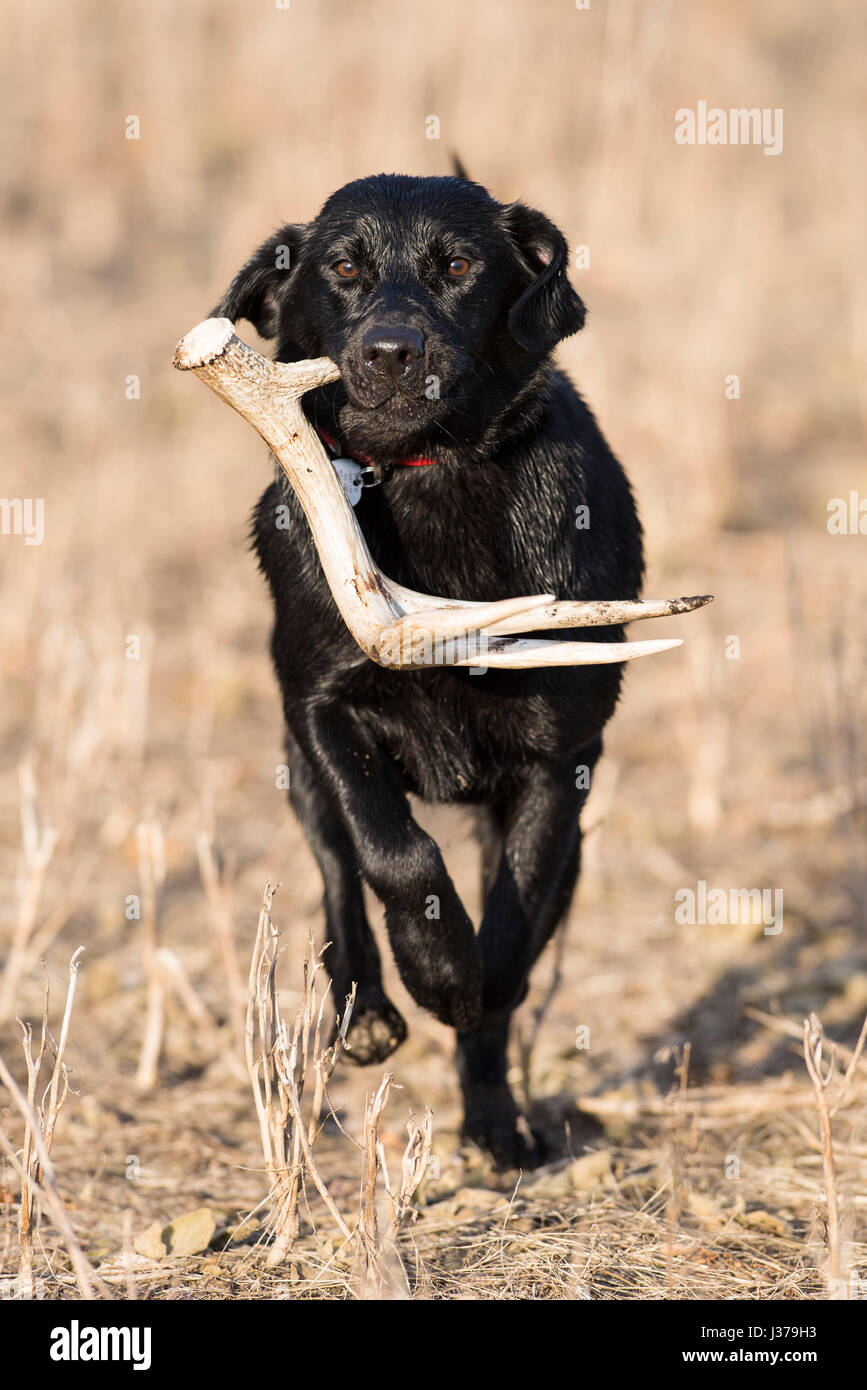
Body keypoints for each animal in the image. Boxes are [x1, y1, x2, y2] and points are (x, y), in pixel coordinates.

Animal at [213, 173, 639, 1167]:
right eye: (341, 269)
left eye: (457, 266)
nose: (392, 353)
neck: (428, 473)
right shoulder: (322, 711)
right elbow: (393, 854)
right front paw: (433, 969)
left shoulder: (558, 760)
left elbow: (515, 921)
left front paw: (470, 995)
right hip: (296, 765)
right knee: (337, 872)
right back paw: (369, 1010)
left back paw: (495, 1123)